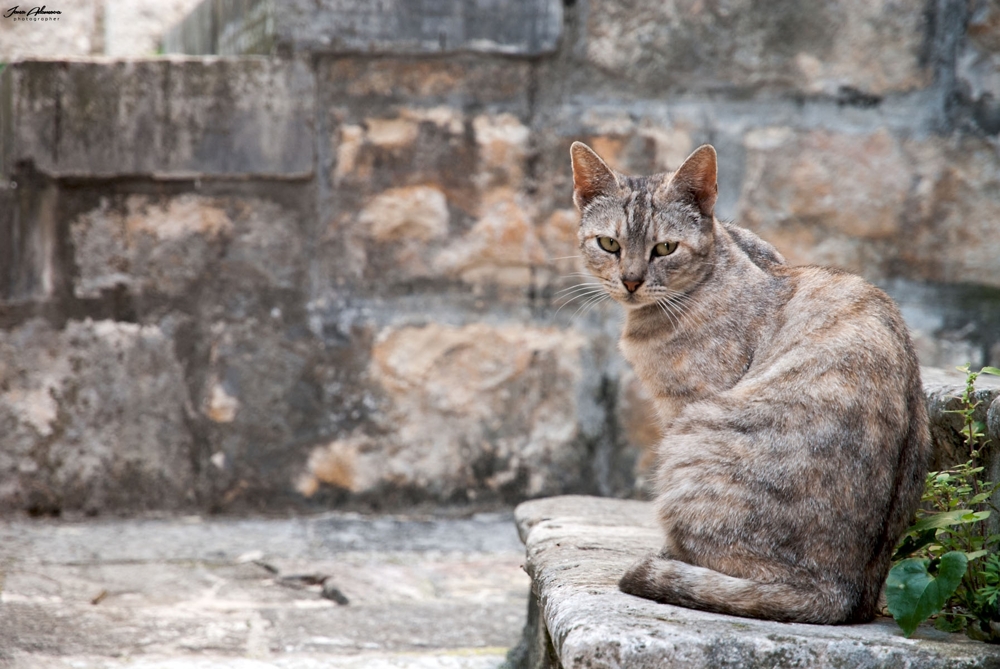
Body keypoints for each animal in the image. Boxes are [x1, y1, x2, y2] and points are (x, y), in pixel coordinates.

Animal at [572, 142, 928, 628]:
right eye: (609, 243)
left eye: (665, 248)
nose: (630, 280)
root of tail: (845, 593)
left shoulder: (685, 404)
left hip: (694, 438)